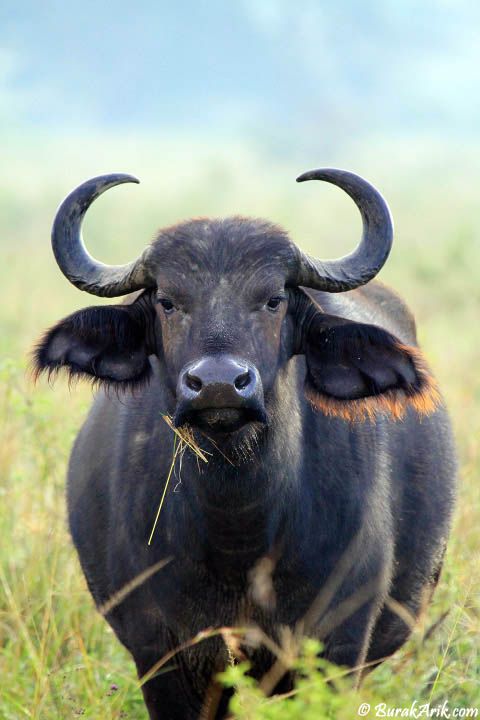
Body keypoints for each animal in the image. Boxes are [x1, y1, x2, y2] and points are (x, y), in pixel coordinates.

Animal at [34, 167, 458, 716]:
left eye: (273, 299)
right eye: (168, 302)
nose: (218, 384)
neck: (238, 535)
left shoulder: (338, 649)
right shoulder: (160, 653)